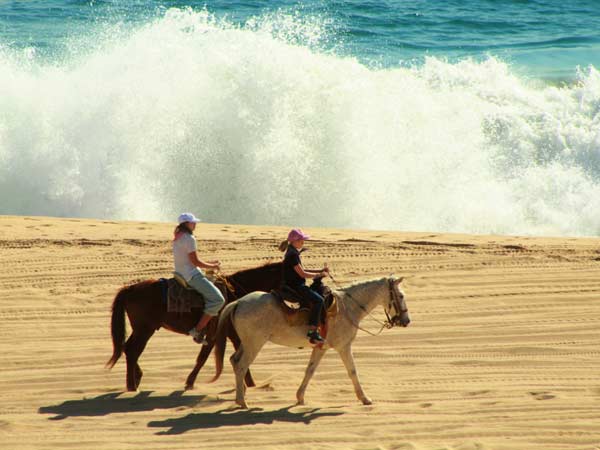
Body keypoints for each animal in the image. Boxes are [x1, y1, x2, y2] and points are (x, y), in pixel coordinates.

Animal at [106, 262, 284, 392]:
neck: (236, 294)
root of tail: (129, 289)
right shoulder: (214, 335)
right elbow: (202, 358)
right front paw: (190, 382)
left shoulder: (232, 335)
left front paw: (252, 385)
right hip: (144, 330)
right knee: (132, 351)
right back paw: (132, 386)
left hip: (140, 330)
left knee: (126, 348)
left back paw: (137, 378)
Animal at [213, 274, 410, 408]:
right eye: (400, 296)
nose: (406, 321)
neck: (347, 307)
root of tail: (238, 303)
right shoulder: (344, 347)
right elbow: (352, 371)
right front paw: (364, 398)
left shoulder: (320, 348)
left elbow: (310, 370)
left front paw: (300, 397)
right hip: (254, 344)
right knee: (241, 365)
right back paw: (242, 401)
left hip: (246, 343)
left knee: (234, 360)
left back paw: (240, 395)